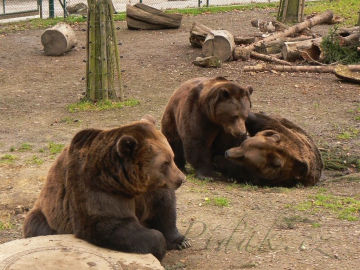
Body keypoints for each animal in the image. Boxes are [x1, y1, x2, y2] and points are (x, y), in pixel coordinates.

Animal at [22, 117, 190, 260]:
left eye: (172, 157)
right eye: (165, 163)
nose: (181, 179)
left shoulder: (150, 191)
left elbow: (163, 208)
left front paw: (181, 241)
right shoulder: (96, 188)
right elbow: (110, 224)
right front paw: (158, 244)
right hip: (47, 214)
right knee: (37, 226)